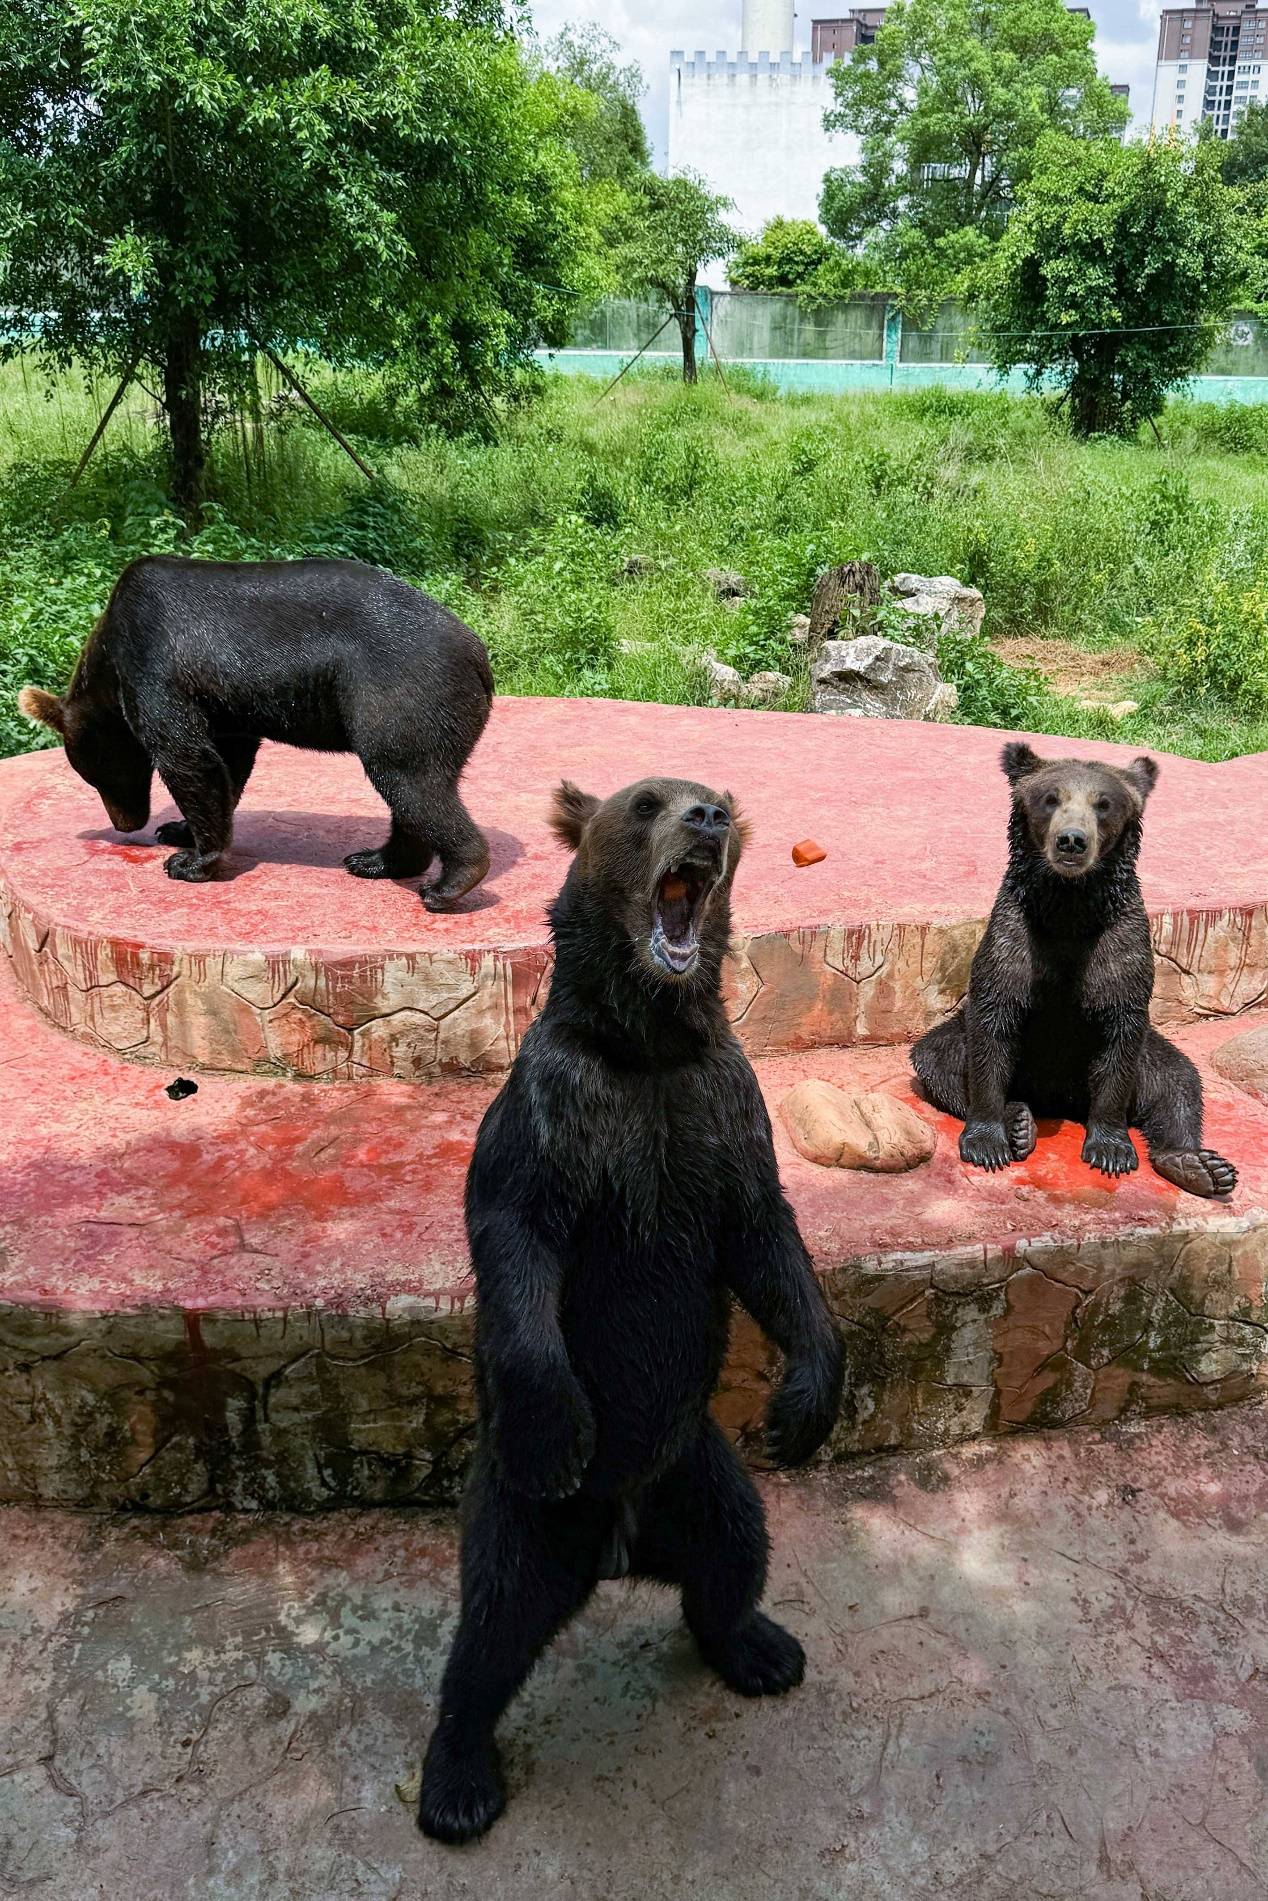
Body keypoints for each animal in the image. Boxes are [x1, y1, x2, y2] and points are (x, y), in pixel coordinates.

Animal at [21, 555, 494, 908]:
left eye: (95, 776)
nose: (125, 823)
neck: (108, 654)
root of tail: (477, 655)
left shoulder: (157, 660)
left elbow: (186, 755)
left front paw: (189, 862)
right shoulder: (224, 703)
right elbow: (228, 762)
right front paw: (177, 828)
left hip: (402, 693)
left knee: (409, 779)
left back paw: (448, 882)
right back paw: (376, 860)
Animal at [422, 771, 847, 1840]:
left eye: (717, 799)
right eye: (647, 802)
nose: (708, 819)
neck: (647, 1042)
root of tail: (619, 1542)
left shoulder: (718, 1109)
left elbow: (768, 1241)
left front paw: (806, 1401)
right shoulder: (560, 1111)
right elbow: (519, 1238)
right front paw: (561, 1422)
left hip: (694, 1462)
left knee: (737, 1548)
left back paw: (760, 1646)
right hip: (529, 1513)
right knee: (490, 1624)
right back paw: (457, 1779)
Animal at [912, 733, 1239, 1193]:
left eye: (1104, 803)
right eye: (1051, 798)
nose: (1071, 840)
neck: (1070, 907)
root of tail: (1059, 1100)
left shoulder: (1120, 945)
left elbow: (1122, 1036)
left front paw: (1111, 1150)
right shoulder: (1016, 937)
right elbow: (990, 1029)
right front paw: (987, 1143)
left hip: (1151, 1056)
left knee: (1177, 1081)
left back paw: (1198, 1166)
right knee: (937, 1057)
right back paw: (1019, 1121)